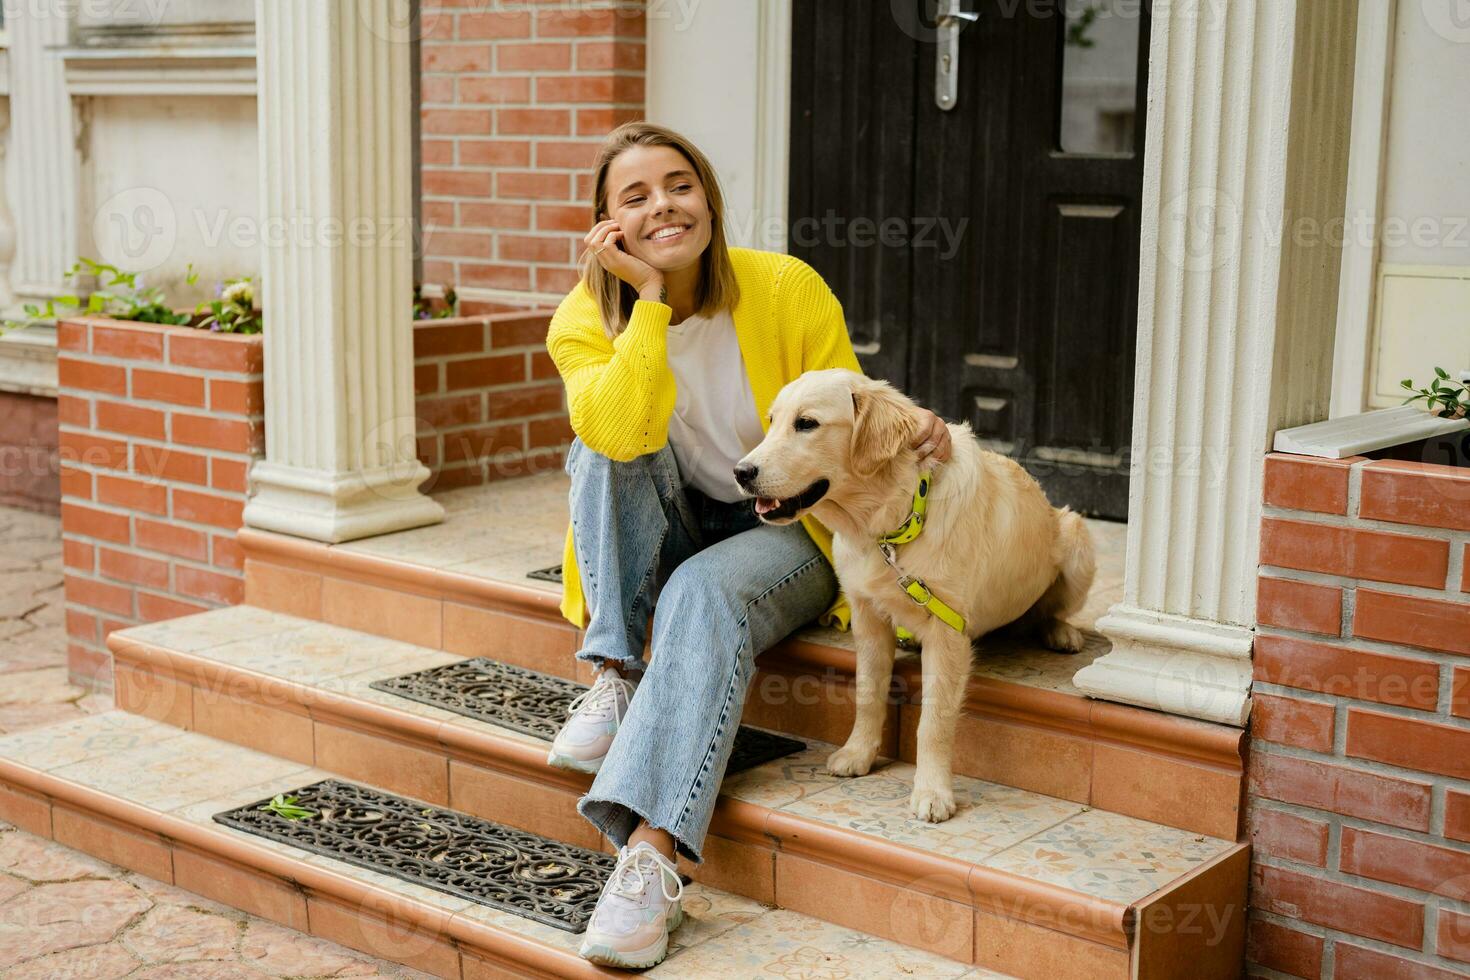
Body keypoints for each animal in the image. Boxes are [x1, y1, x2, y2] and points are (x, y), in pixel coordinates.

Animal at [735, 367, 1093, 822]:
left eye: (807, 423)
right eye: (772, 421)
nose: (741, 472)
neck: (892, 521)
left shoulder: (947, 630)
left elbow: (934, 722)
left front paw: (933, 792)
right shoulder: (866, 616)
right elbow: (867, 693)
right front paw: (859, 753)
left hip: (1076, 533)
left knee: (1051, 609)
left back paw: (1061, 632)